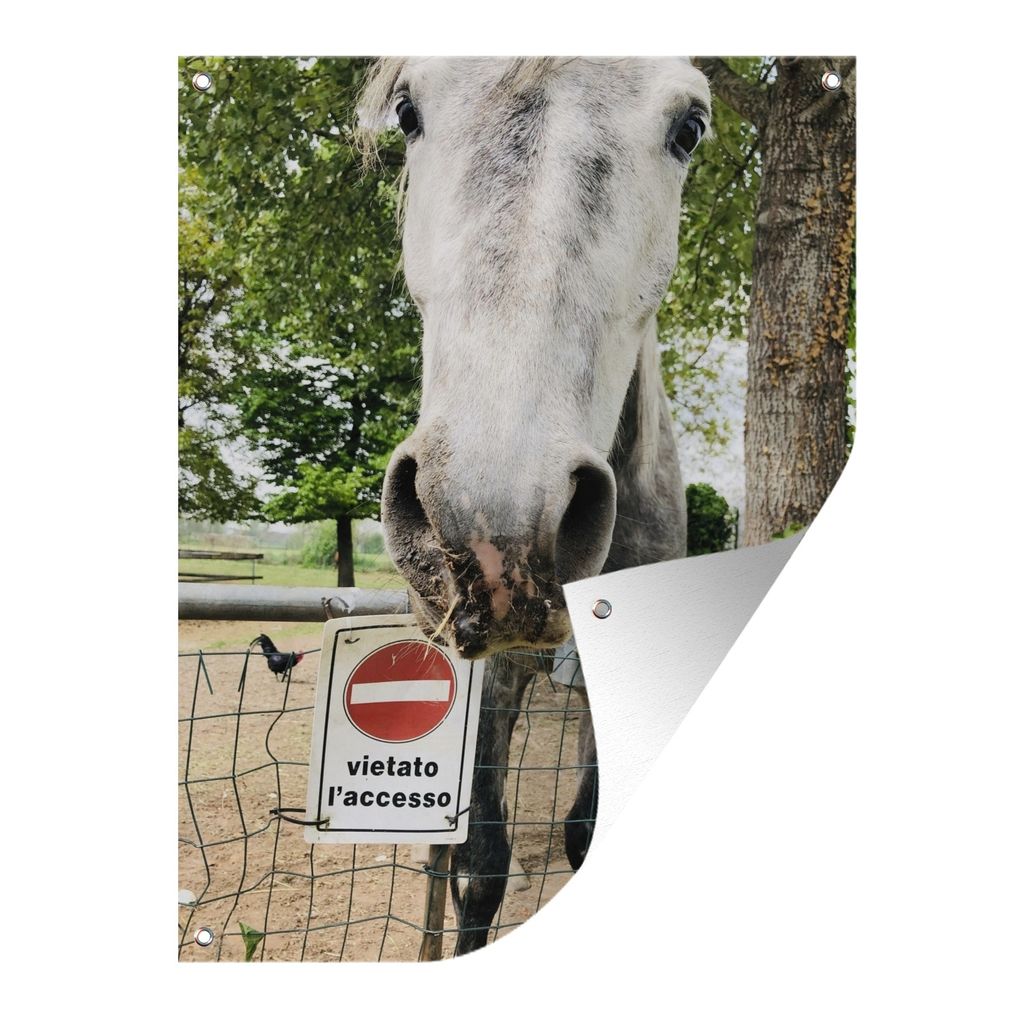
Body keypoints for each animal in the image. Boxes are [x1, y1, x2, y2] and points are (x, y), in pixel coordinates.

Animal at [358, 57, 711, 954]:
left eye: (689, 127)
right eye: (406, 111)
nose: (496, 533)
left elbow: (585, 833)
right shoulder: (493, 670)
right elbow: (482, 859)